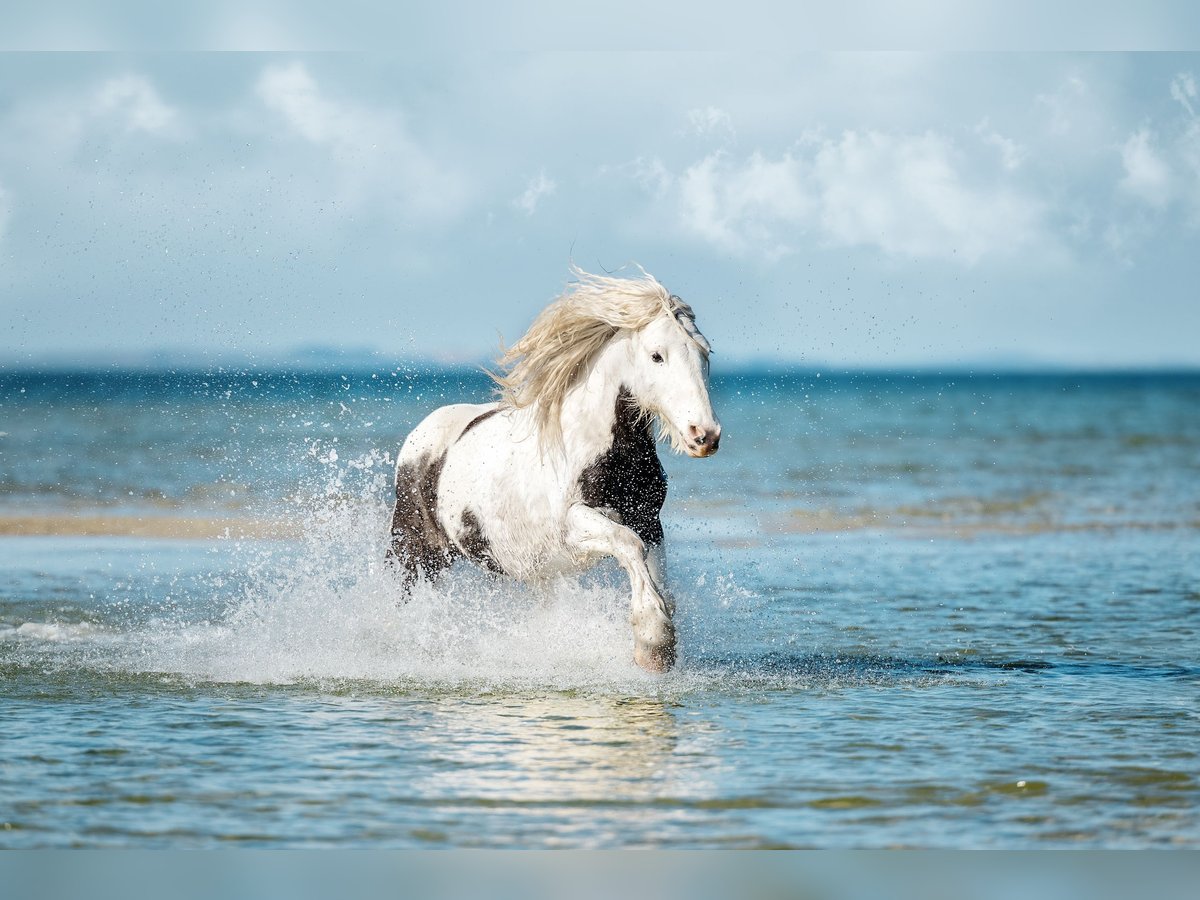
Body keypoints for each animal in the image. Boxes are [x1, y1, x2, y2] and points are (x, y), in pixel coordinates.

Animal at [386, 264, 720, 672]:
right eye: (657, 356)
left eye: (705, 352)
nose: (704, 435)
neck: (594, 449)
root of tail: (418, 438)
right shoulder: (574, 524)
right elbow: (628, 544)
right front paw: (652, 641)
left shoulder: (647, 519)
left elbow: (653, 567)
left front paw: (658, 646)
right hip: (415, 552)